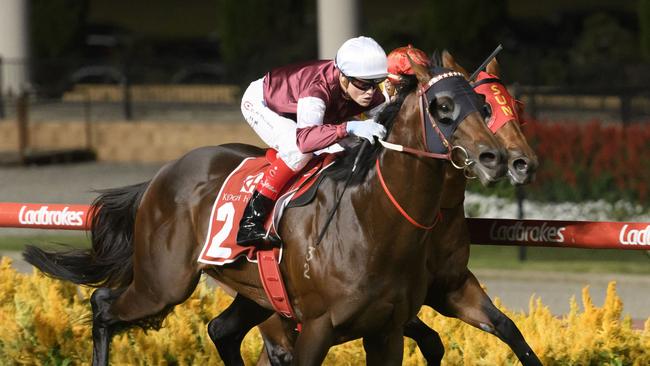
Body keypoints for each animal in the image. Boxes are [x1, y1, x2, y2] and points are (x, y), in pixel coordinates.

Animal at [22, 61, 506, 364]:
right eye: (442, 106)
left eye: (482, 105)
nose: (495, 157)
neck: (373, 222)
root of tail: (160, 175)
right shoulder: (317, 327)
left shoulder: (385, 330)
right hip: (164, 283)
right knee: (103, 304)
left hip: (252, 292)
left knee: (221, 330)